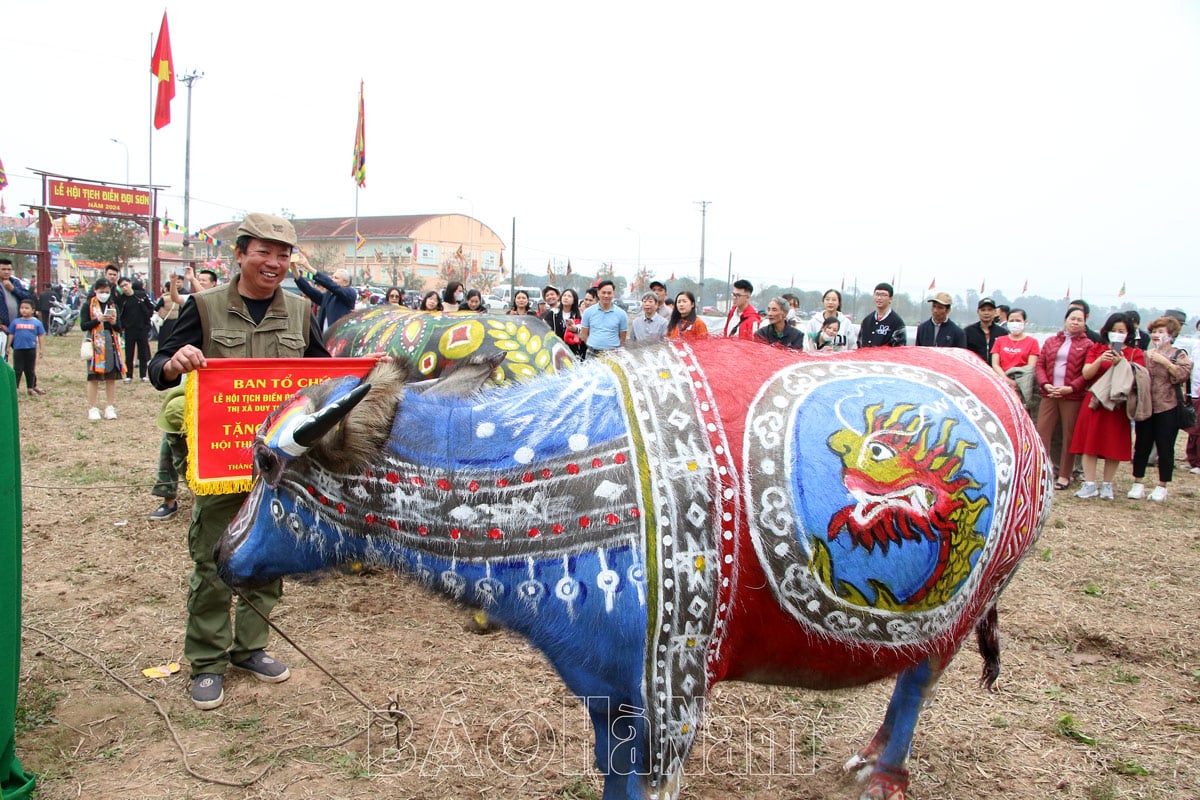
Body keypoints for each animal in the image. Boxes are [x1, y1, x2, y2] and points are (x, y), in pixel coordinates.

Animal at [216, 340, 1051, 800]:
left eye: (267, 464)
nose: (224, 554)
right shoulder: (608, 691)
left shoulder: (671, 702)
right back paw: (871, 756)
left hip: (969, 606)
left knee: (916, 683)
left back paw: (885, 773)